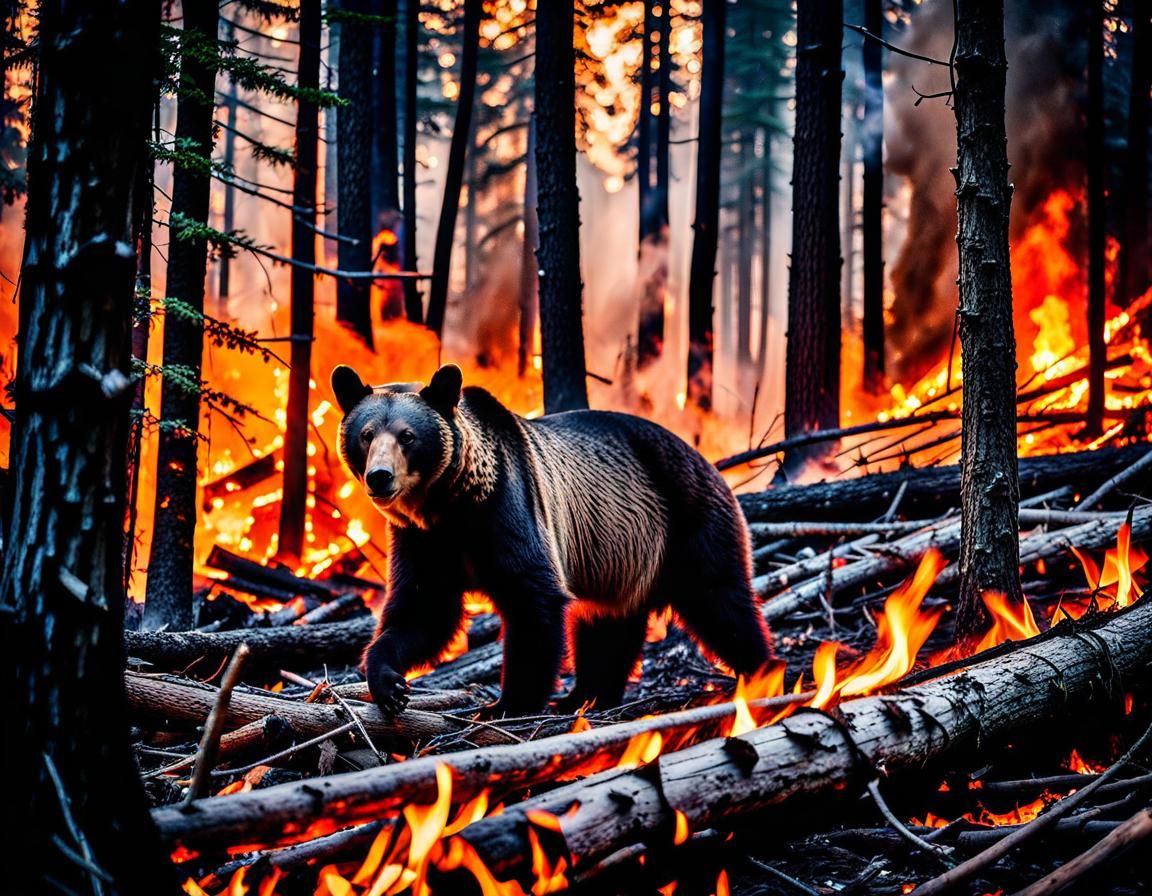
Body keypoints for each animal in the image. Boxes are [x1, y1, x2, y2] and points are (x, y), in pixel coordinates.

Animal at [332, 363, 772, 717]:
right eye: (366, 435)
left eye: (407, 436)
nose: (380, 477)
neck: (450, 506)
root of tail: (708, 463)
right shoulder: (423, 541)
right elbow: (423, 610)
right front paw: (389, 683)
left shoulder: (508, 509)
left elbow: (533, 603)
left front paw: (506, 704)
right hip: (622, 556)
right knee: (607, 629)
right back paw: (586, 696)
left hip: (685, 521)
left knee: (721, 601)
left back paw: (762, 672)